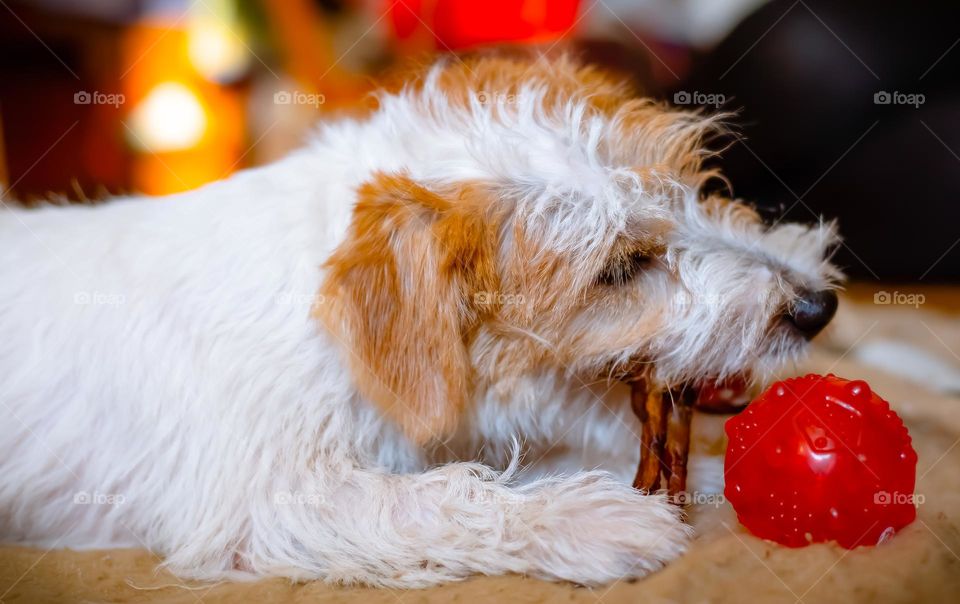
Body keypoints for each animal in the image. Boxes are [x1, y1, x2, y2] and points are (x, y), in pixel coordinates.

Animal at [0, 55, 840, 584]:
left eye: (691, 189)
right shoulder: (263, 500)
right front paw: (597, 521)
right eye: (620, 269)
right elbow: (436, 497)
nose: (818, 307)